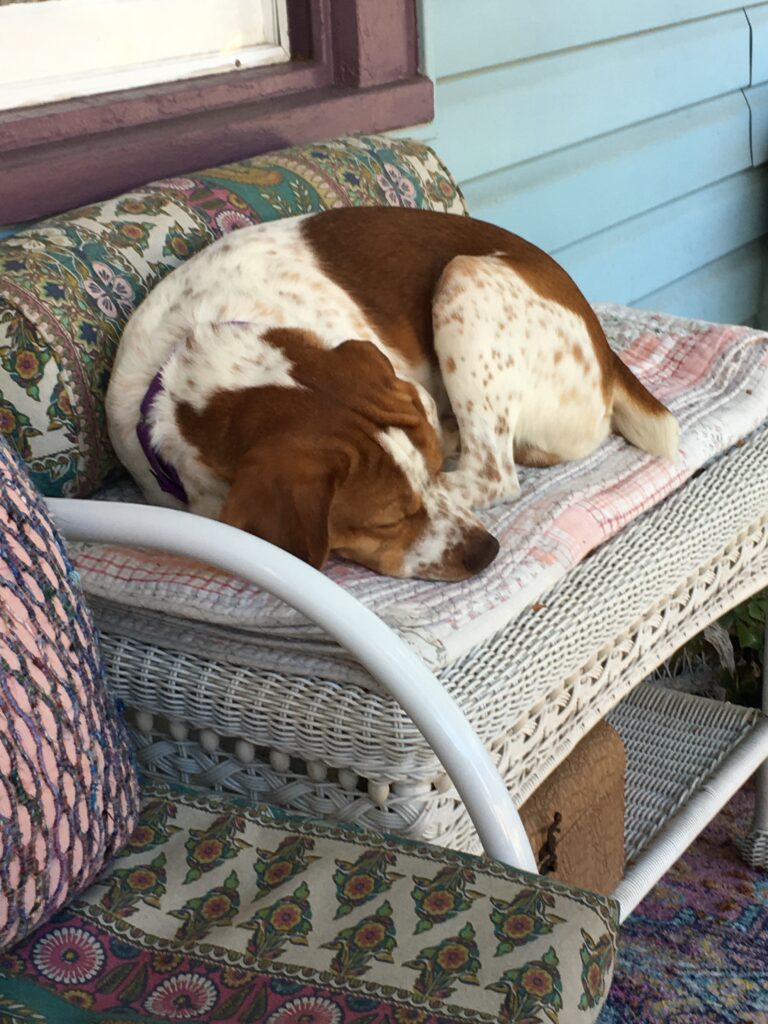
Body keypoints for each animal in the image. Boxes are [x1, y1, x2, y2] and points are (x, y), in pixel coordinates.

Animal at [107, 204, 679, 581]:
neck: (199, 345)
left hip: (463, 277)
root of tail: (606, 354)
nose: (487, 553)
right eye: (388, 521)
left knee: (495, 472)